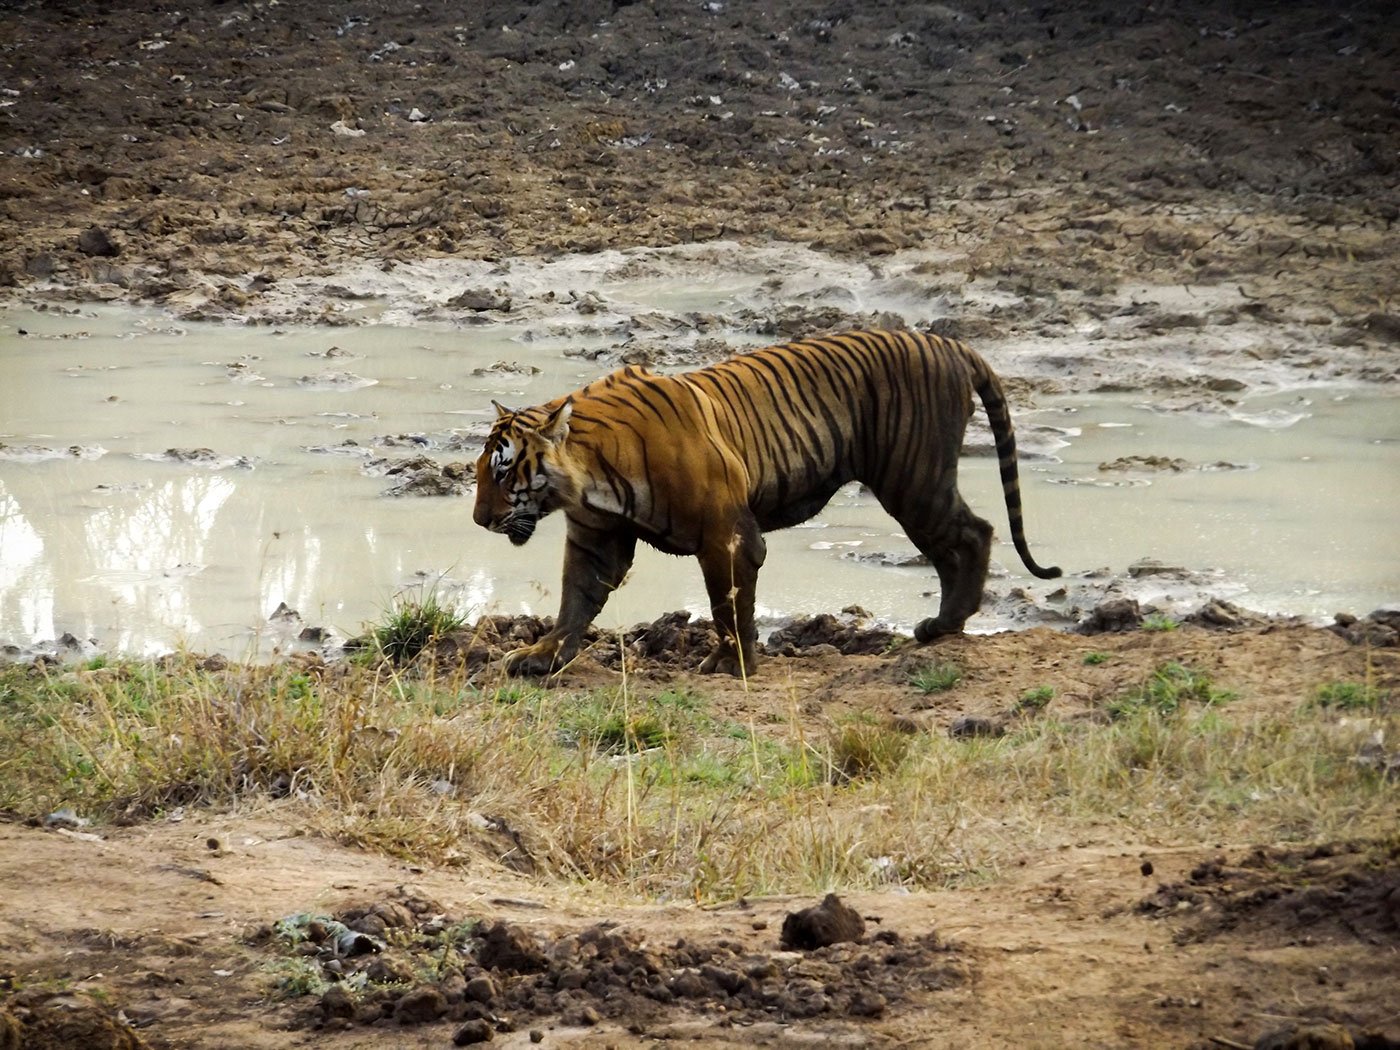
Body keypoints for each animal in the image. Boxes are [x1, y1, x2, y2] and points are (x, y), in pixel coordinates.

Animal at [473, 330, 1058, 683]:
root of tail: (949, 342)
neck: (589, 474)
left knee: (975, 532)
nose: (480, 520)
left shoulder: (726, 535)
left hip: (914, 479)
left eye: (503, 471)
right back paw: (945, 626)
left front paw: (730, 664)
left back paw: (943, 626)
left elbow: (728, 605)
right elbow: (575, 600)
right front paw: (542, 656)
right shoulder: (596, 538)